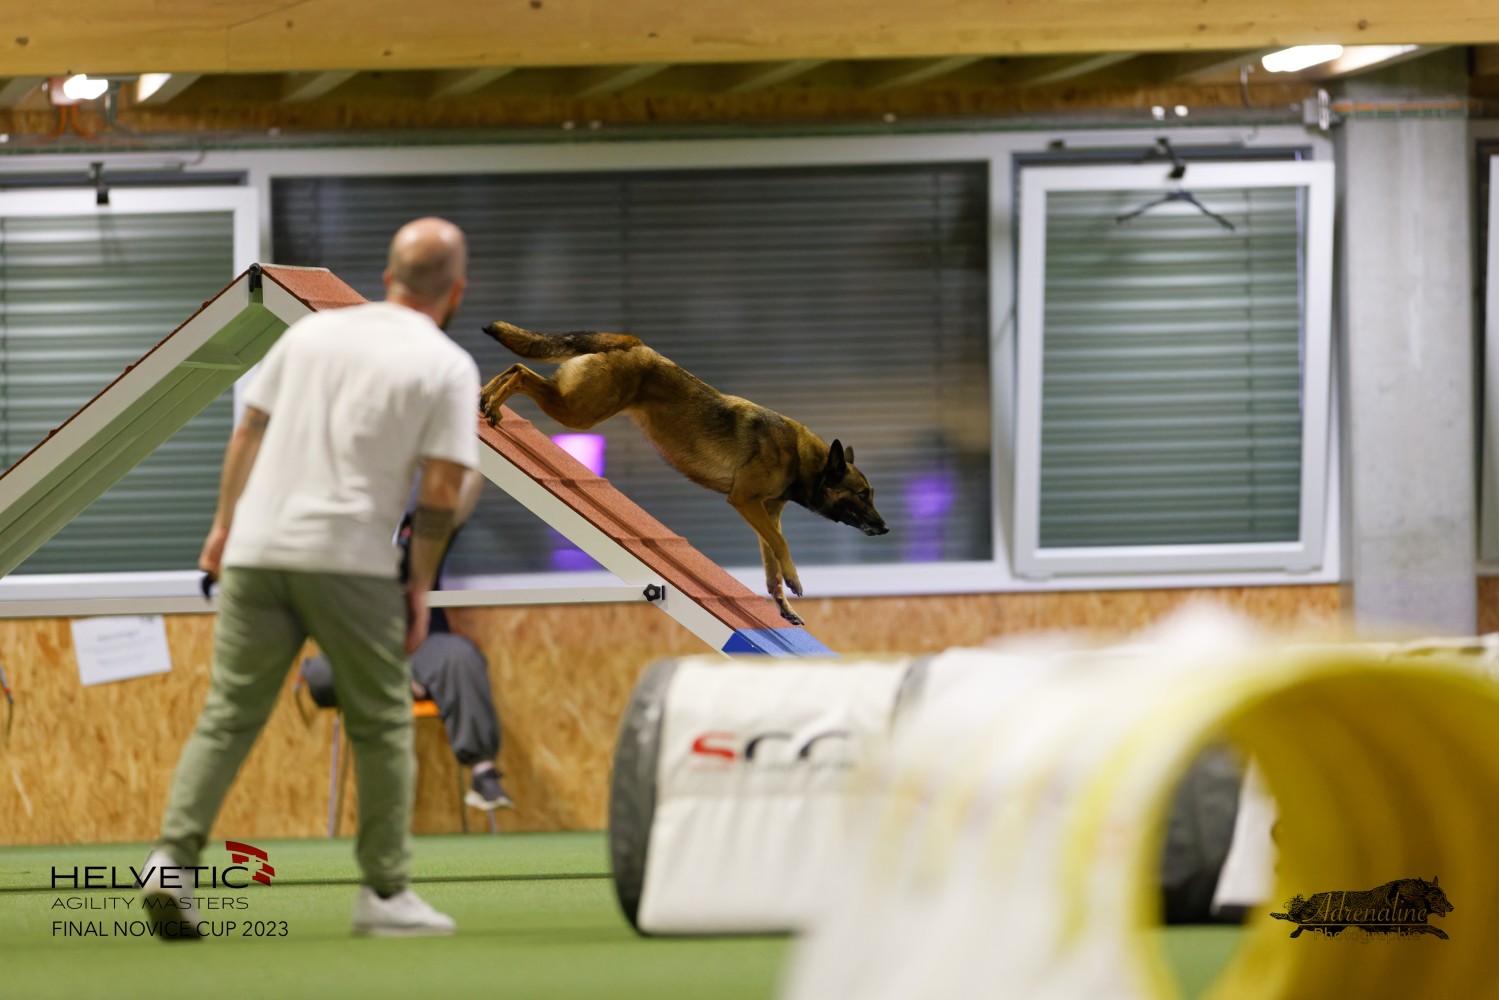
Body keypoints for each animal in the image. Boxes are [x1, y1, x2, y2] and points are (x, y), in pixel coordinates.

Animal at [478, 322, 889, 625]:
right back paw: (493, 404)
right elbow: (783, 545)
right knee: (521, 374)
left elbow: (772, 560)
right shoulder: (745, 501)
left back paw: (485, 400)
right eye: (863, 493)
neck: (803, 460)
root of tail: (632, 342)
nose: (885, 528)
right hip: (579, 411)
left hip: (575, 404)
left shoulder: (767, 513)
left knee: (517, 369)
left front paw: (784, 604)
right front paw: (795, 580)